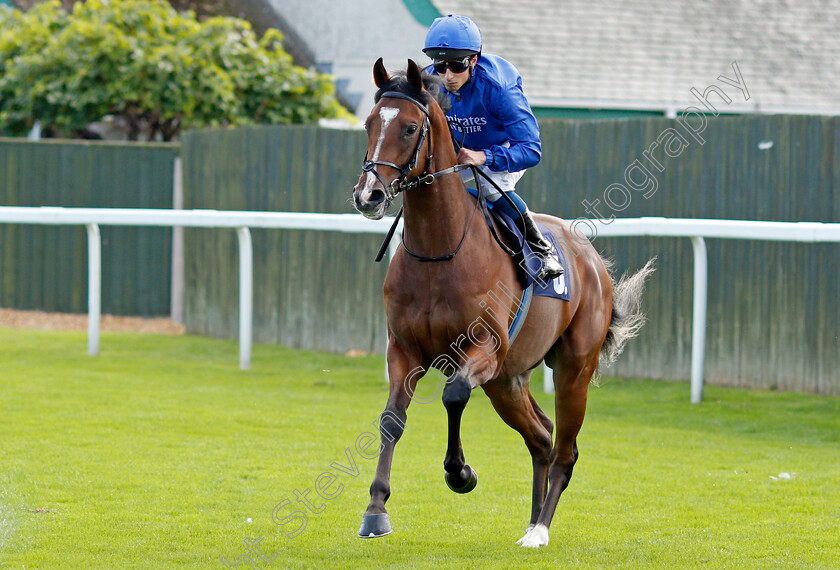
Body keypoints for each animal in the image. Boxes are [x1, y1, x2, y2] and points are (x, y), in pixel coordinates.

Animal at [352, 58, 652, 544]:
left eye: (411, 127)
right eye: (369, 123)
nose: (368, 195)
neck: (439, 250)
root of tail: (592, 260)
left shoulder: (485, 349)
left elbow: (454, 395)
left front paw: (460, 473)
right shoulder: (404, 350)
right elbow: (391, 419)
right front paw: (376, 509)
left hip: (571, 371)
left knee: (565, 448)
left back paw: (540, 529)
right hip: (507, 381)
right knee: (542, 437)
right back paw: (531, 520)